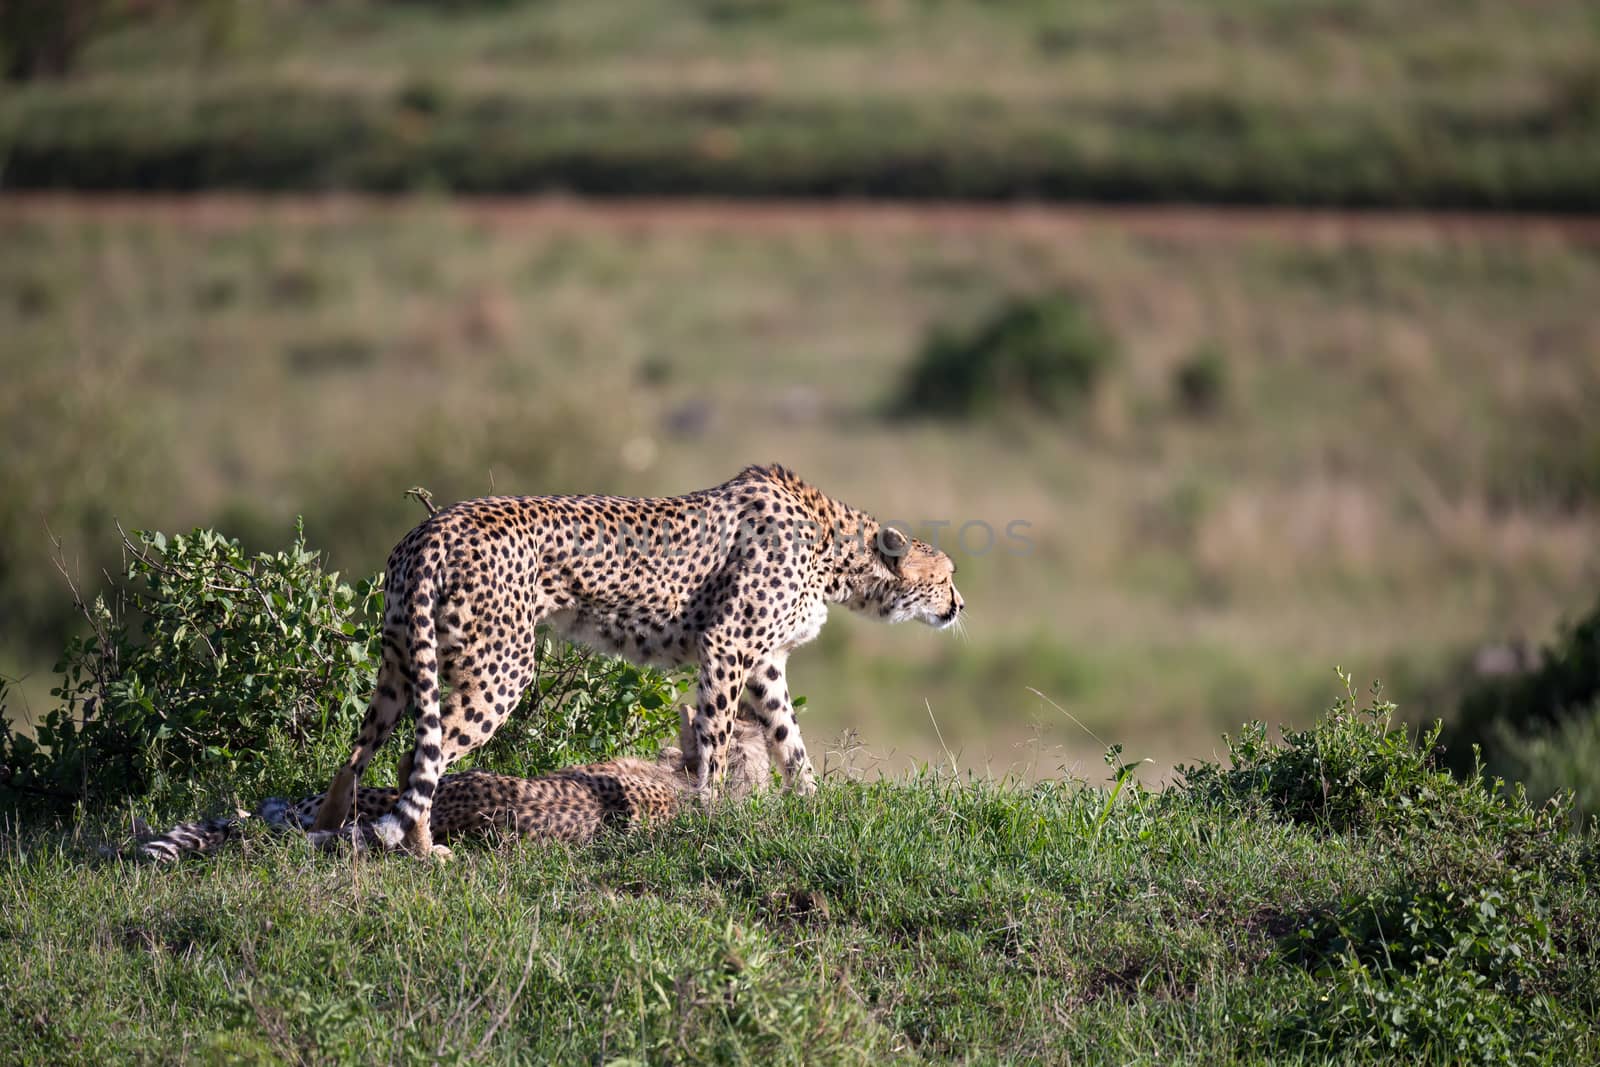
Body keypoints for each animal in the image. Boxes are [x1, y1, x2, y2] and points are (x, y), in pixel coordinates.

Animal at [315, 463, 960, 857]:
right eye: (947, 575)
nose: (959, 605)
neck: (834, 551)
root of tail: (435, 525)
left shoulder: (765, 662)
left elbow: (789, 740)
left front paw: (810, 807)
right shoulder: (727, 646)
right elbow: (715, 743)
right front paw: (708, 817)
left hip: (400, 661)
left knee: (356, 755)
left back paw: (326, 831)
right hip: (501, 666)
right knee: (417, 759)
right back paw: (426, 852)